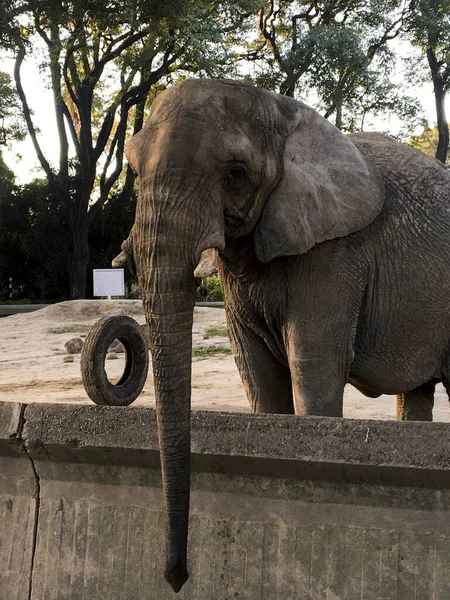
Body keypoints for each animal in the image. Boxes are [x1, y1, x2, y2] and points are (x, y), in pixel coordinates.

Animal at [111, 78, 450, 592]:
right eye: (132, 166)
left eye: (235, 173)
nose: (177, 577)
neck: (281, 108)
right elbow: (258, 374)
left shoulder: (335, 253)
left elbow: (312, 365)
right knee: (417, 395)